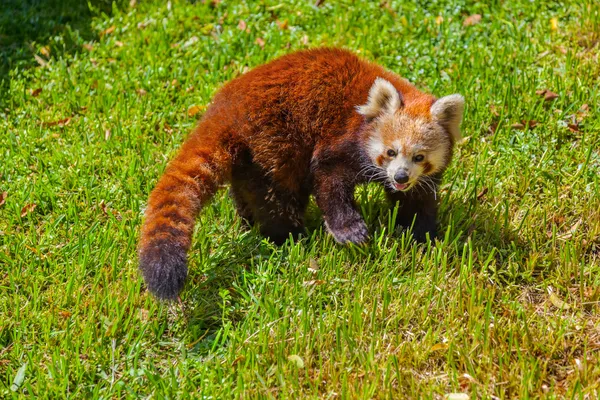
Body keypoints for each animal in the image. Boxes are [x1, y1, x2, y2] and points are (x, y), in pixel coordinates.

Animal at [139, 47, 464, 298]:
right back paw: (290, 237)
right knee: (278, 196)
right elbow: (329, 183)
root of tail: (223, 109)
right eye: (391, 152)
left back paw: (251, 223)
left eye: (419, 157)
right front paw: (351, 232)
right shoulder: (339, 142)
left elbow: (416, 203)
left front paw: (422, 235)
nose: (400, 177)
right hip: (274, 142)